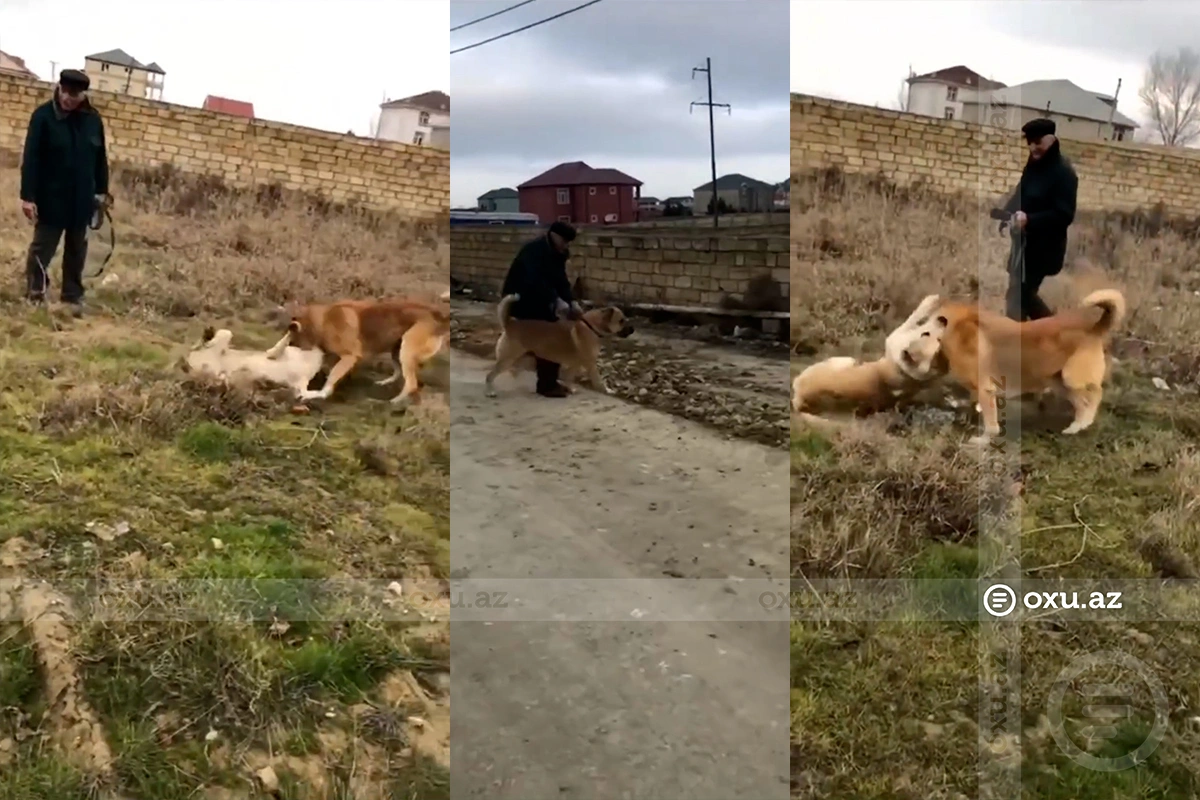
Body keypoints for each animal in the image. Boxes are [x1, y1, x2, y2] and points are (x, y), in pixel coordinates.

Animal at [284, 292, 451, 407]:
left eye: (293, 341)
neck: (323, 321)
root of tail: (439, 316)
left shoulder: (349, 356)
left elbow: (331, 378)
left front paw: (320, 394)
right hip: (397, 348)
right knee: (399, 371)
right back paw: (386, 382)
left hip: (406, 348)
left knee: (411, 383)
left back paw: (393, 402)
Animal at [484, 293, 638, 398]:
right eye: (621, 321)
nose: (633, 329)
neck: (591, 327)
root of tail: (510, 324)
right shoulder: (591, 364)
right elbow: (599, 381)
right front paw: (608, 390)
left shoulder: (576, 364)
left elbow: (569, 378)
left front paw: (570, 389)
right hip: (507, 359)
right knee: (489, 376)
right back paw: (490, 392)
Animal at [792, 296, 950, 424]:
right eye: (926, 334)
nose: (943, 319)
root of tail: (800, 402)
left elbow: (912, 318)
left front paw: (931, 301)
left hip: (840, 362)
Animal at [926, 287, 1123, 443]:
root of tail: (1094, 329)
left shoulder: (985, 389)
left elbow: (990, 423)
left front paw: (982, 440)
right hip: (1059, 383)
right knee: (1081, 404)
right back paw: (1076, 427)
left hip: (1072, 378)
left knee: (1096, 394)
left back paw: (1086, 420)